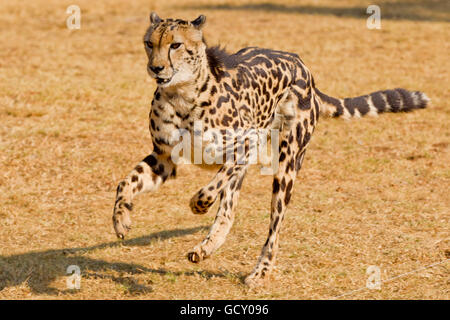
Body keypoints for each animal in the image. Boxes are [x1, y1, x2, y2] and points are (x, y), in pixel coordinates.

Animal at [111, 13, 428, 288]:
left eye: (175, 45)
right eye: (149, 43)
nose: (156, 68)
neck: (182, 94)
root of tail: (302, 66)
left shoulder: (247, 143)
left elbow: (208, 189)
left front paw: (198, 204)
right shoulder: (164, 158)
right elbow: (125, 183)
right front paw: (121, 220)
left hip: (287, 165)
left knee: (274, 226)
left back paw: (261, 271)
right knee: (228, 211)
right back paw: (206, 248)